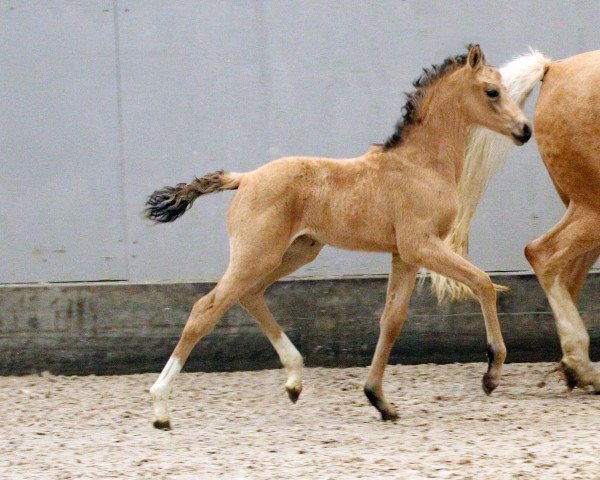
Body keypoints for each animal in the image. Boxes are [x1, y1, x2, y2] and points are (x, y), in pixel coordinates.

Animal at [145, 45, 528, 430]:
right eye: (492, 92)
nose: (524, 130)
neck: (420, 164)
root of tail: (246, 178)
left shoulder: (404, 255)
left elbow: (392, 319)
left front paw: (378, 399)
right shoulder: (421, 244)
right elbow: (482, 283)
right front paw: (491, 374)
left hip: (295, 252)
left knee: (250, 295)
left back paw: (294, 380)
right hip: (256, 254)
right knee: (204, 310)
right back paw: (161, 407)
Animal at [432, 49, 600, 394]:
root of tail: (554, 69)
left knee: (567, 272)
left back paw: (577, 370)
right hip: (592, 205)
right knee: (543, 255)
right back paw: (580, 367)